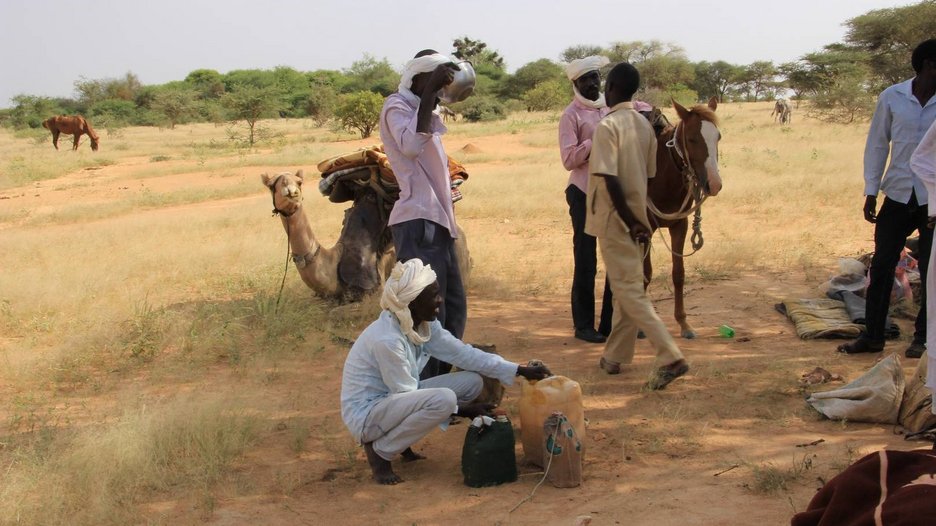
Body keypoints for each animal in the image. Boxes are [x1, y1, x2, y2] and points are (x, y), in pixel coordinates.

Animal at [644, 97, 724, 340]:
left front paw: (684, 323)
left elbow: (678, 274)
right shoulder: (645, 229)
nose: (714, 184)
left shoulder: (680, 225)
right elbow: (646, 274)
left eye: (718, 137)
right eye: (691, 138)